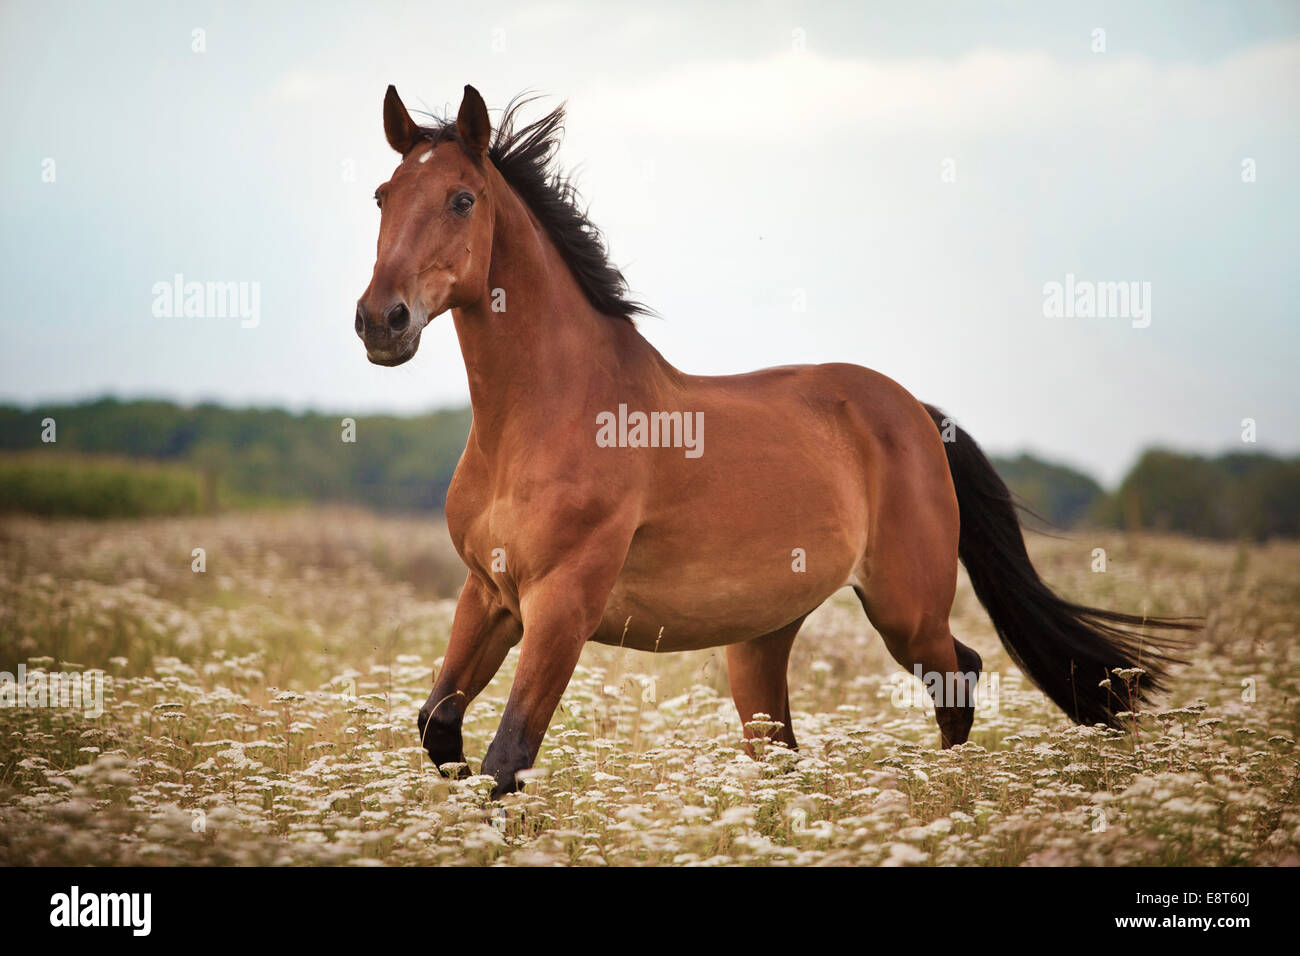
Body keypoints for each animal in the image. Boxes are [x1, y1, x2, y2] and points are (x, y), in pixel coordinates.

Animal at [356, 83, 1196, 801]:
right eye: (382, 196)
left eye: (462, 199)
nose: (380, 322)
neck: (543, 419)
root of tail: (918, 413)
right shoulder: (489, 596)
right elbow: (439, 729)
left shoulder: (562, 605)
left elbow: (507, 757)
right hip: (760, 639)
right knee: (783, 748)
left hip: (905, 609)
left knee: (959, 677)